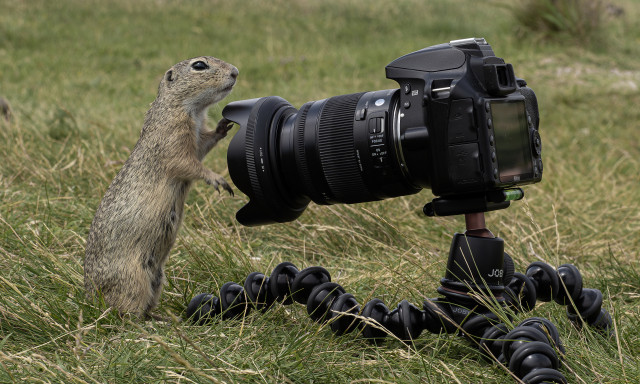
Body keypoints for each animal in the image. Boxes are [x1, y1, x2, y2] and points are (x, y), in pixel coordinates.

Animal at [82, 54, 238, 318]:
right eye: (199, 65)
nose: (235, 72)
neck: (189, 109)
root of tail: (90, 298)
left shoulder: (197, 138)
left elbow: (204, 145)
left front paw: (222, 126)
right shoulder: (172, 138)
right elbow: (188, 164)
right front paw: (216, 179)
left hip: (157, 278)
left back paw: (163, 317)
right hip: (133, 279)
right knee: (126, 313)